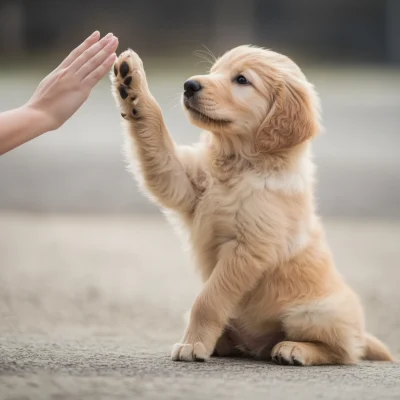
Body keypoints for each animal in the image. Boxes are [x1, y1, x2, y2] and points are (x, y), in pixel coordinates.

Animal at [111, 45, 392, 364]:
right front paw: (130, 84)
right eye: (213, 71)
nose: (189, 85)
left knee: (344, 351)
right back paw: (225, 343)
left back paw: (294, 349)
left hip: (315, 313)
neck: (241, 165)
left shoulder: (249, 247)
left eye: (242, 80)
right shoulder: (180, 181)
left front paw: (193, 344)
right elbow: (156, 137)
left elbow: (208, 299)